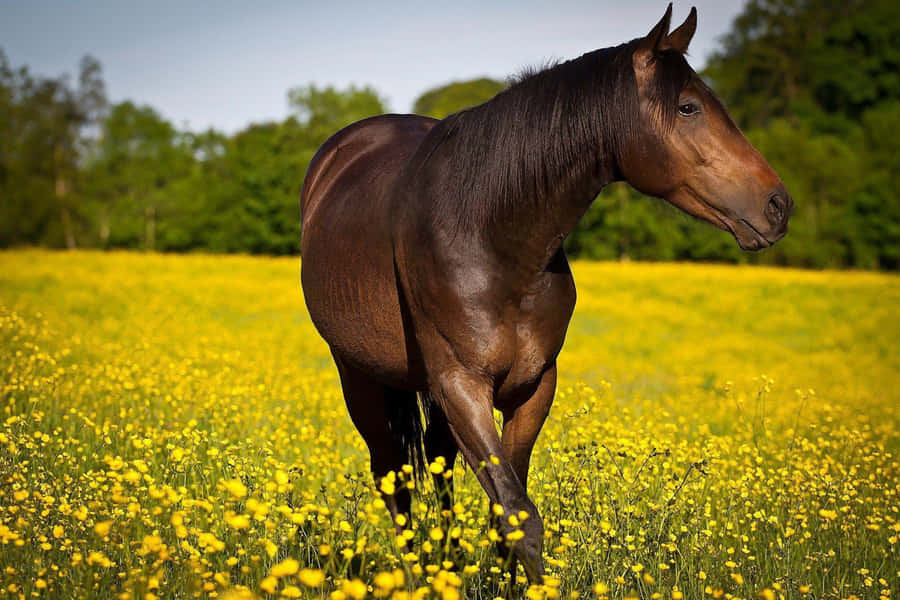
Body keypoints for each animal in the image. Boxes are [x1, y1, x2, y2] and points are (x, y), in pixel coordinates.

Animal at [299, 4, 792, 583]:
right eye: (688, 107)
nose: (778, 205)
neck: (490, 234)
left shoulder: (532, 386)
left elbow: (506, 512)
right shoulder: (462, 385)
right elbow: (518, 514)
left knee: (439, 470)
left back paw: (446, 565)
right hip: (360, 376)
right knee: (392, 474)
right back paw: (416, 573)